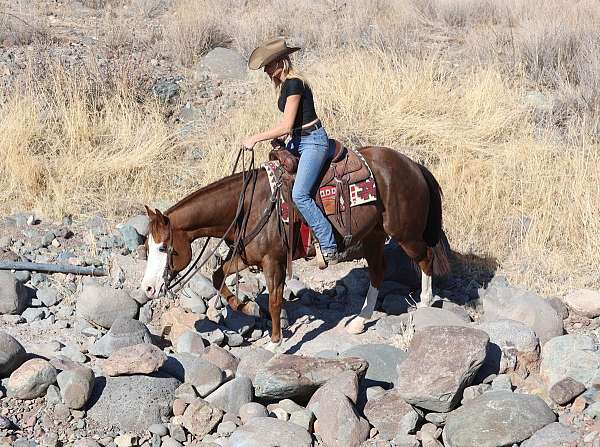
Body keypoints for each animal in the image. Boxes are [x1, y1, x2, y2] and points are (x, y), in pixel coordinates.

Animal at [142, 146, 450, 350]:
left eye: (164, 248)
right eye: (147, 246)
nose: (148, 288)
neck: (248, 206)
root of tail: (413, 165)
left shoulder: (273, 260)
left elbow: (276, 300)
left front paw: (275, 343)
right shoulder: (247, 255)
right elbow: (219, 276)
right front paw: (246, 307)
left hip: (405, 233)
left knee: (425, 258)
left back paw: (424, 304)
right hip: (374, 235)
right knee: (378, 271)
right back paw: (359, 321)